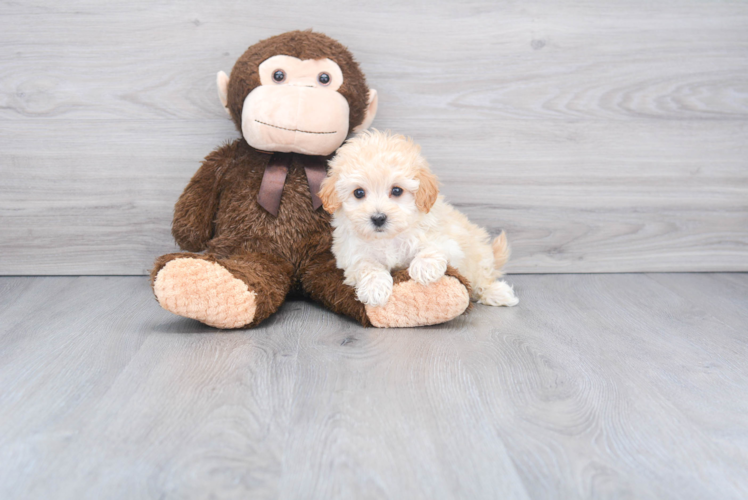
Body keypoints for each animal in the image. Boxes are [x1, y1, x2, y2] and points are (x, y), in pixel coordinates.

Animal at [318, 130, 520, 308]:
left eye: (397, 190)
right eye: (358, 193)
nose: (378, 218)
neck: (388, 238)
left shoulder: (449, 241)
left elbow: (435, 246)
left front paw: (425, 267)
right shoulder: (350, 254)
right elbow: (366, 265)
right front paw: (375, 288)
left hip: (478, 256)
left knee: (482, 279)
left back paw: (497, 293)